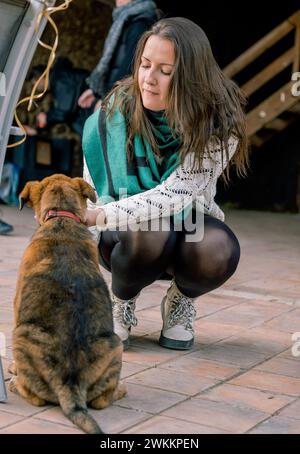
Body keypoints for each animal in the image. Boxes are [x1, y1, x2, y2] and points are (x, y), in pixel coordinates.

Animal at [9, 173, 125, 432]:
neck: (61, 217)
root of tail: (71, 383)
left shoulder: (16, 303)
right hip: (115, 345)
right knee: (102, 399)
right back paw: (120, 389)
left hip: (20, 335)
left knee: (35, 397)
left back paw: (14, 383)